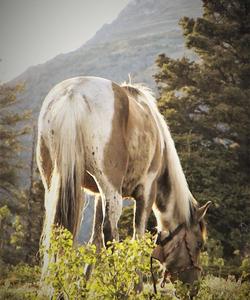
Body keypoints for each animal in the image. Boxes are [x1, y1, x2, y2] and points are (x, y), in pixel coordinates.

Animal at [36, 75, 210, 288]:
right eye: (199, 244)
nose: (193, 286)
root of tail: (73, 94)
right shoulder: (146, 193)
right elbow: (138, 239)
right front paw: (137, 288)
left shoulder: (99, 197)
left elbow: (95, 241)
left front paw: (83, 287)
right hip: (112, 191)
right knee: (111, 232)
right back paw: (117, 284)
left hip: (57, 184)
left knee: (60, 231)